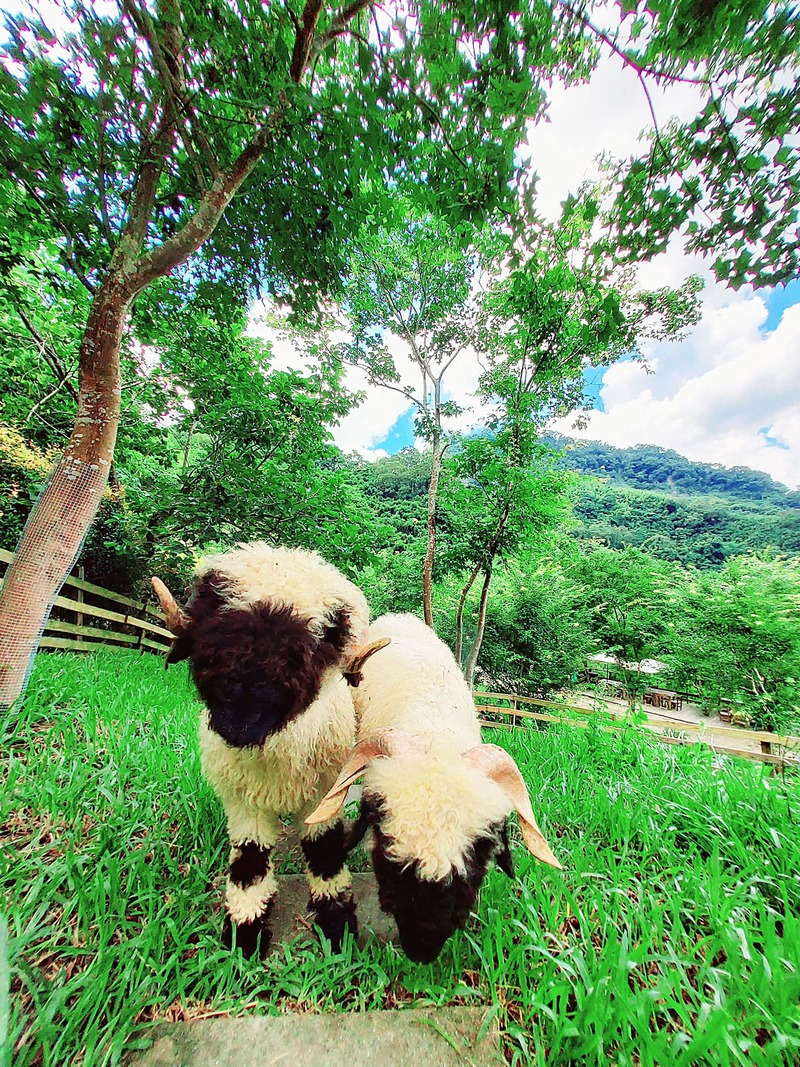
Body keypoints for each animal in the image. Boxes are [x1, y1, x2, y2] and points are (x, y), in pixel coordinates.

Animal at [154, 542, 384, 960]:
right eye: (218, 630)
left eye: (304, 650)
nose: (239, 722)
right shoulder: (241, 798)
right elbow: (250, 857)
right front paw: (245, 931)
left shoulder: (322, 792)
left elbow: (324, 850)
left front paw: (336, 924)